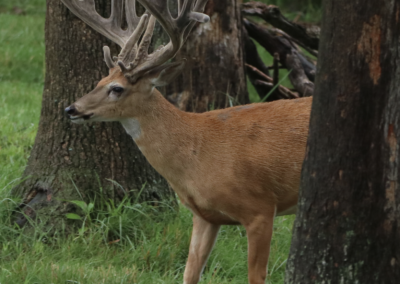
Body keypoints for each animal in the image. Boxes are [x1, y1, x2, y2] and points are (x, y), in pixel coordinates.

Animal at [61, 0, 310, 284]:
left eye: (117, 88)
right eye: (100, 81)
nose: (71, 108)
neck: (196, 152)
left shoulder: (261, 208)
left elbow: (255, 276)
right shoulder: (204, 215)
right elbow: (189, 272)